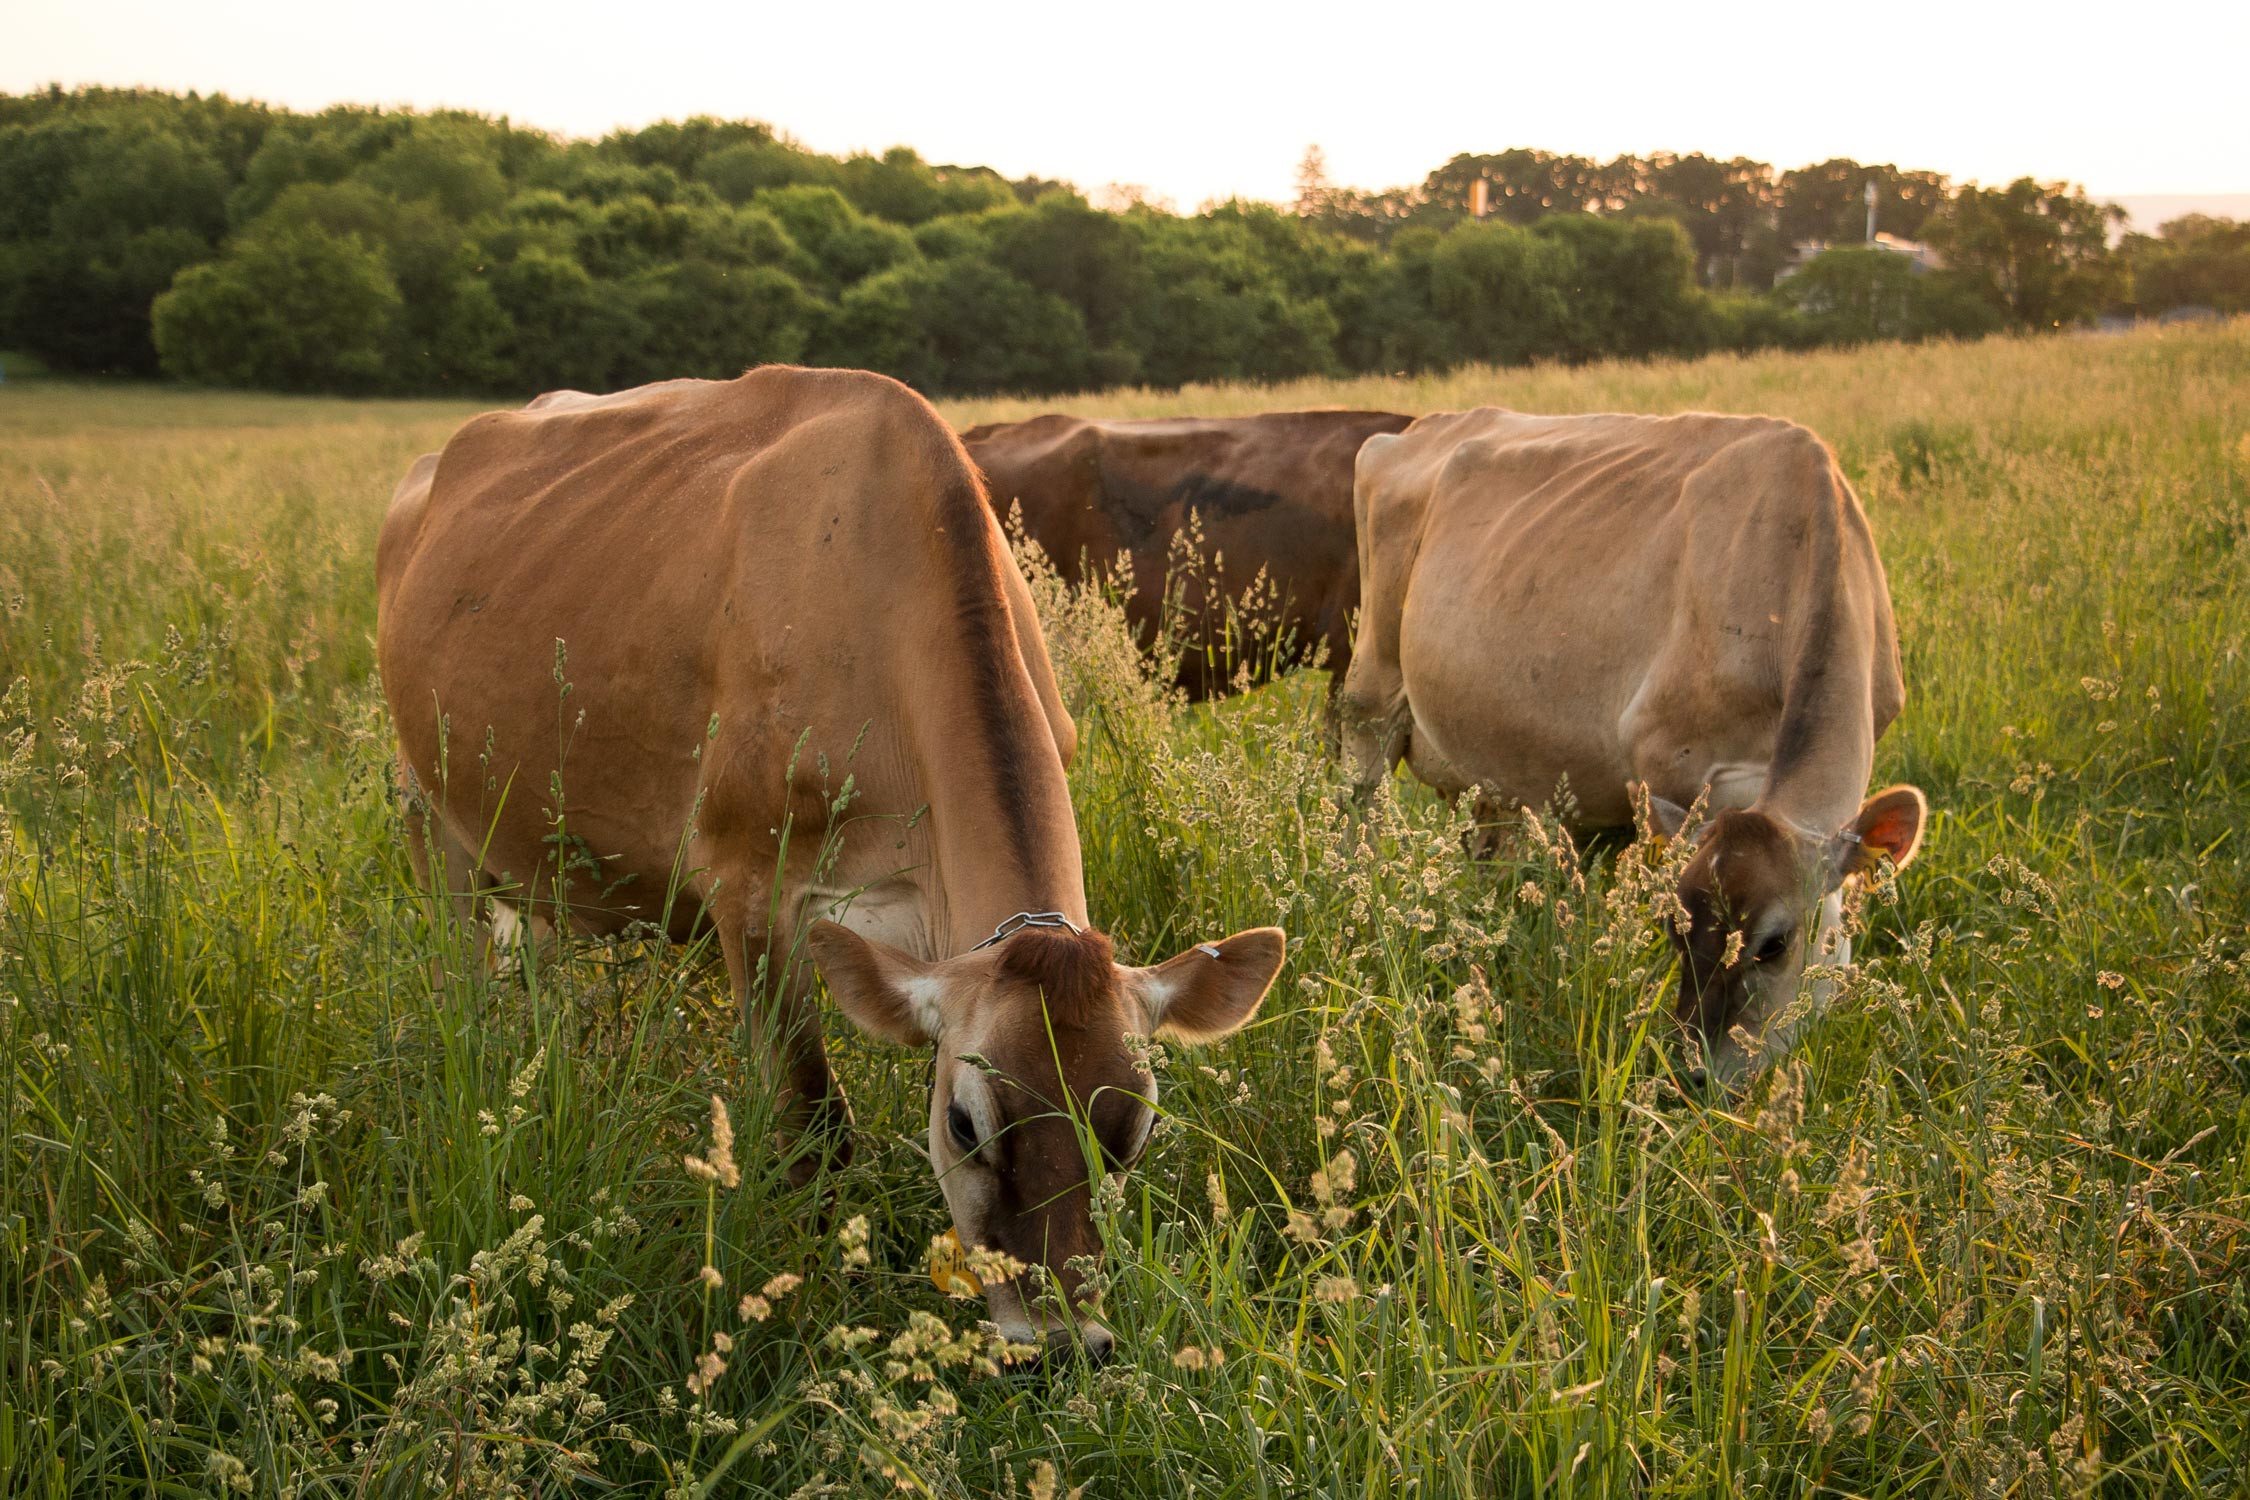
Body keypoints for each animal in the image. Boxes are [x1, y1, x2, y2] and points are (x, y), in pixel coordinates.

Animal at [377, 367, 1287, 1362]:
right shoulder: (746, 886)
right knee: (464, 981)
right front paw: (819, 1296)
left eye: (1132, 1128)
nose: (1058, 1343)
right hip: (428, 816)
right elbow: (814, 1123)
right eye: (965, 1121)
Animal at [1340, 409, 1926, 1089]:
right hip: (1372, 689)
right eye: (1676, 927)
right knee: (1357, 803)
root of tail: (1422, 425)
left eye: (1774, 945)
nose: (1696, 1076)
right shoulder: (1666, 764)